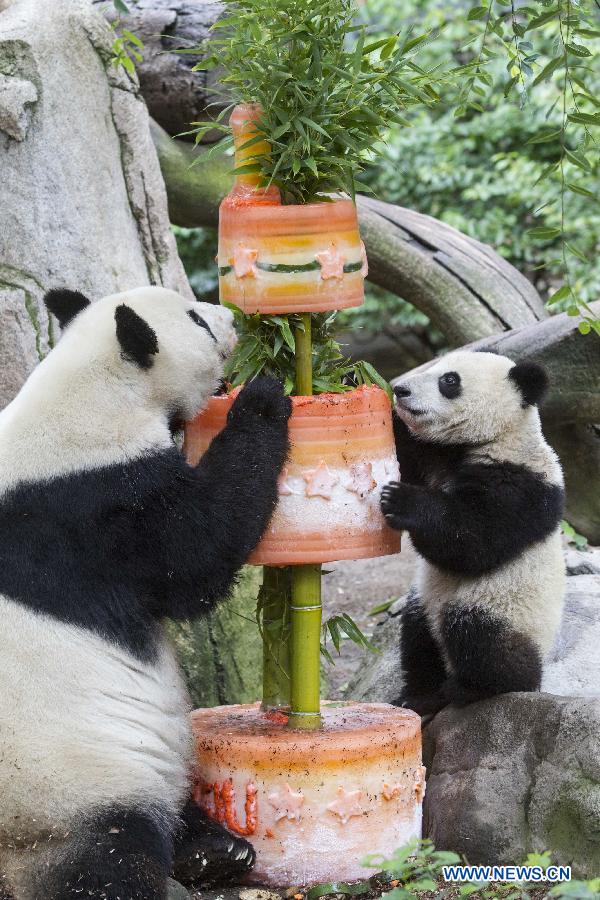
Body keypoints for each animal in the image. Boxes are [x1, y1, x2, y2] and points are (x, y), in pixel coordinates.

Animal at [0, 288, 290, 900]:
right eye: (198, 320)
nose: (232, 318)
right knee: (107, 855)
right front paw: (261, 397)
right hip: (62, 791)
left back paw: (215, 851)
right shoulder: (96, 508)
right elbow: (200, 549)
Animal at [382, 350, 564, 716]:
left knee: (479, 633)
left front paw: (401, 500)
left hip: (509, 607)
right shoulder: (433, 457)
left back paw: (476, 687)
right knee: (417, 638)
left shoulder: (521, 485)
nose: (401, 389)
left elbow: (473, 542)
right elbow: (404, 455)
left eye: (449, 380)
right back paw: (419, 696)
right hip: (424, 600)